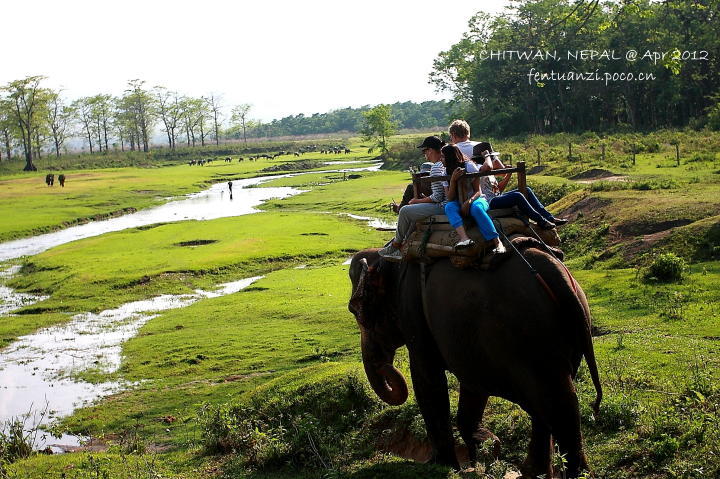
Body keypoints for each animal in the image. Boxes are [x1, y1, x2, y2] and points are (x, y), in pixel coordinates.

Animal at [348, 242, 600, 478]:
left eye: (354, 310)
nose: (386, 368)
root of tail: (555, 273)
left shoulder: (412, 311)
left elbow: (426, 378)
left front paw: (440, 464)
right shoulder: (471, 345)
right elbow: (472, 387)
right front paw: (490, 446)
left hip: (527, 334)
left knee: (557, 405)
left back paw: (573, 474)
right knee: (548, 404)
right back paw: (533, 473)